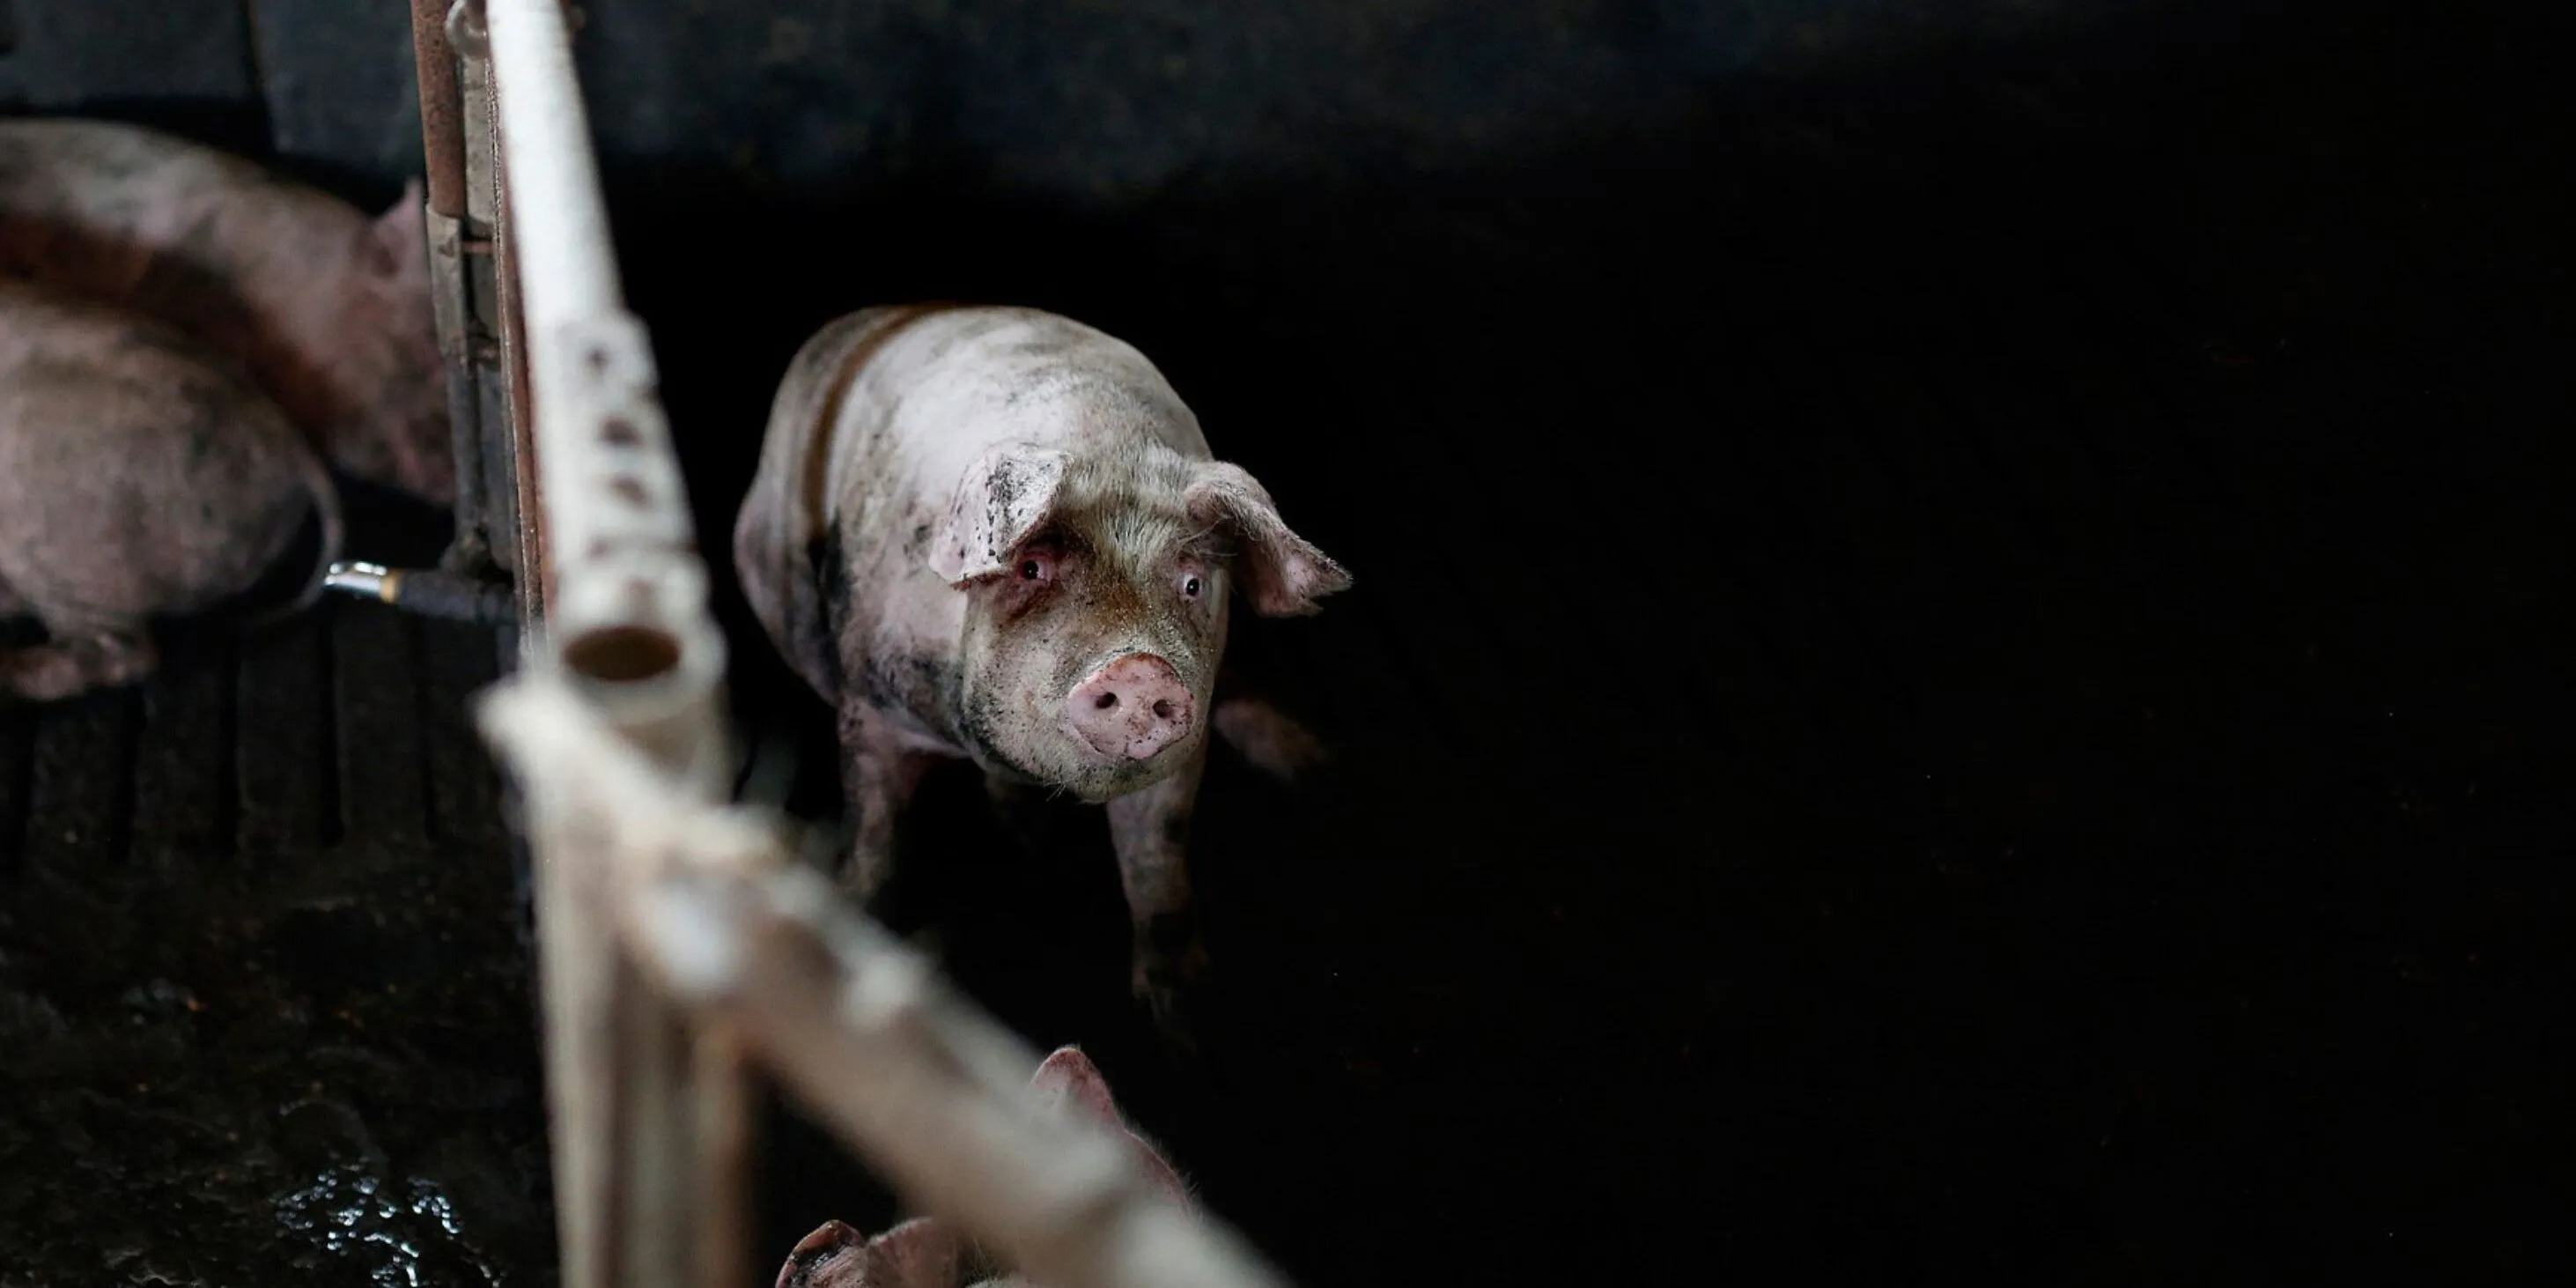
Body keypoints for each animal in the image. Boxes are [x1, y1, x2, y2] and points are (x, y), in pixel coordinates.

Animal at [733, 304, 1350, 1045]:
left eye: (1193, 583)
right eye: (1030, 567)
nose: (1140, 667)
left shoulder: (1180, 755)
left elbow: (1156, 859)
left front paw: (1183, 1026)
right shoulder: (871, 708)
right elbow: (874, 832)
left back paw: (1311, 769)